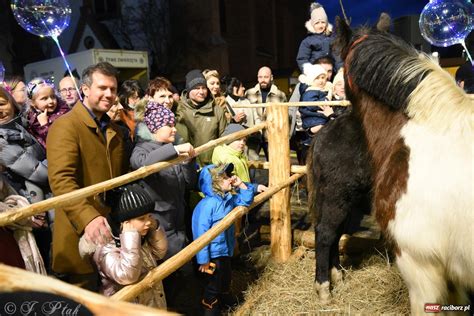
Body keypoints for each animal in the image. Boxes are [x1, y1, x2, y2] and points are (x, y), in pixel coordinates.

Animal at [312, 17, 474, 314]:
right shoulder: (421, 264)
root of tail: (324, 134)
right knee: (326, 233)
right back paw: (325, 288)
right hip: (337, 197)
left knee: (334, 233)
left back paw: (336, 276)